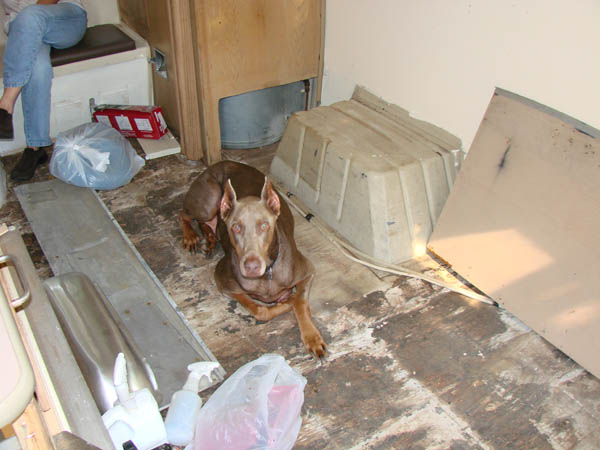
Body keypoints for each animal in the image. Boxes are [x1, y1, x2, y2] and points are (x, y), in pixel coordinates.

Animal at [180, 160, 326, 356]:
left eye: (264, 225)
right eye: (236, 227)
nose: (251, 267)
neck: (268, 274)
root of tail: (220, 162)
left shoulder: (307, 271)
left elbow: (301, 302)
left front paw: (312, 337)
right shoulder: (223, 282)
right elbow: (259, 310)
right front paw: (287, 302)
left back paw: (209, 238)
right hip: (209, 201)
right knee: (183, 213)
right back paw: (191, 236)